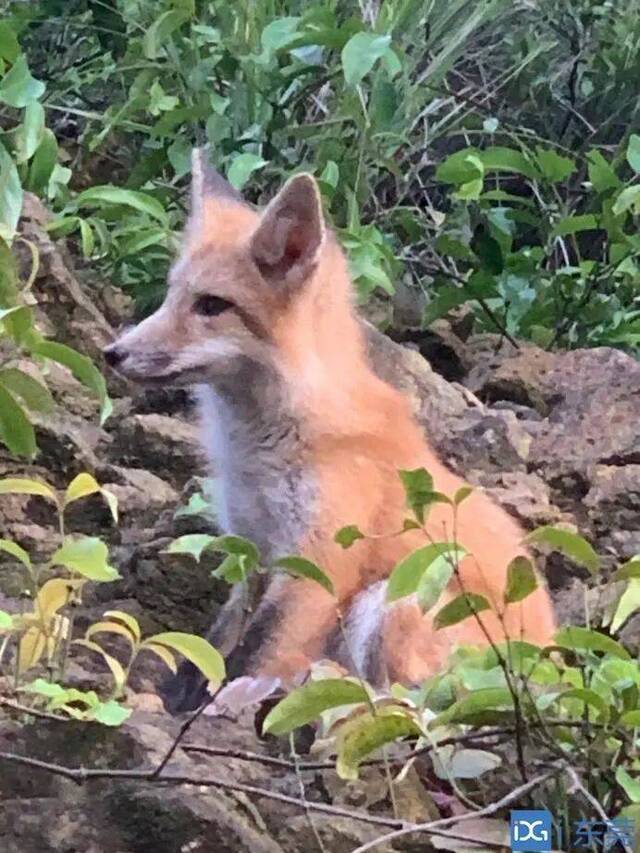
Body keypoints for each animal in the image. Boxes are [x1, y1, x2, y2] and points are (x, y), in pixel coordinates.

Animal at [104, 150, 556, 708]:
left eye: (210, 305)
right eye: (170, 296)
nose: (113, 353)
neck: (261, 450)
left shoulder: (316, 562)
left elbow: (257, 650)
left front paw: (223, 702)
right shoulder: (250, 549)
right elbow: (216, 643)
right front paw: (182, 697)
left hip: (393, 598)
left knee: (404, 700)